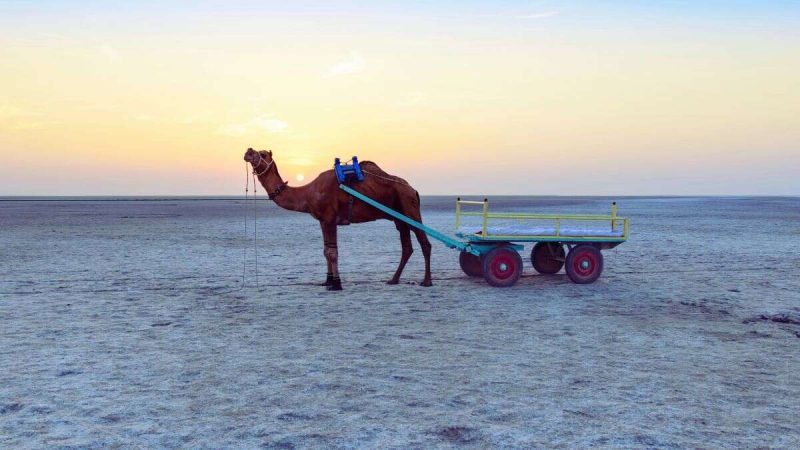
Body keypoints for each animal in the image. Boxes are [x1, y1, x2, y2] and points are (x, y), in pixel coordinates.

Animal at [242, 146, 432, 290]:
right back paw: (393, 280)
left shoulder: (330, 218)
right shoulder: (322, 221)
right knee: (407, 247)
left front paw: (337, 284)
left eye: (263, 154)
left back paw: (426, 281)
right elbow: (325, 251)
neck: (307, 193)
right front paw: (327, 281)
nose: (248, 150)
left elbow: (333, 252)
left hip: (409, 207)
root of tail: (412, 189)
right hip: (399, 216)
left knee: (424, 242)